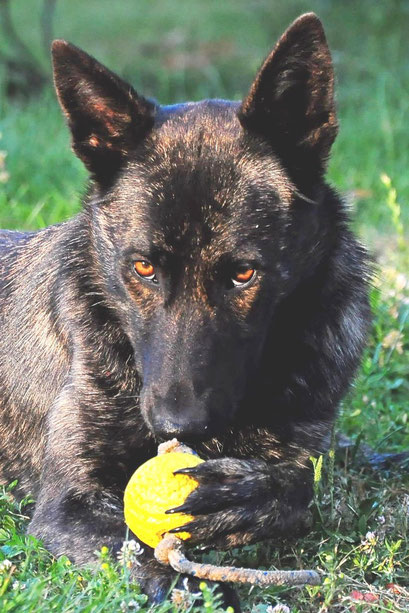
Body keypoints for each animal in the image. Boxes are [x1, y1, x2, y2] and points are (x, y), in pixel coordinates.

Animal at [0, 11, 370, 604]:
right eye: (142, 268)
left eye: (244, 274)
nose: (179, 424)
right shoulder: (69, 505)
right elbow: (142, 554)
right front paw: (199, 590)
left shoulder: (301, 453)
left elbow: (295, 493)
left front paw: (245, 497)